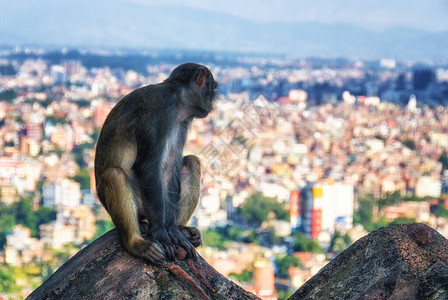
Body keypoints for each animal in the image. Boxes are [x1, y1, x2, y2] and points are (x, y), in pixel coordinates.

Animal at [95, 62, 219, 264]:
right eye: (212, 89)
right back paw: (136, 243)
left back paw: (181, 227)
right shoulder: (158, 113)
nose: (212, 103)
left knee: (191, 162)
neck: (177, 99)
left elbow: (170, 167)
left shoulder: (181, 122)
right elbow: (148, 167)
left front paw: (173, 230)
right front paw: (161, 234)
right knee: (115, 174)